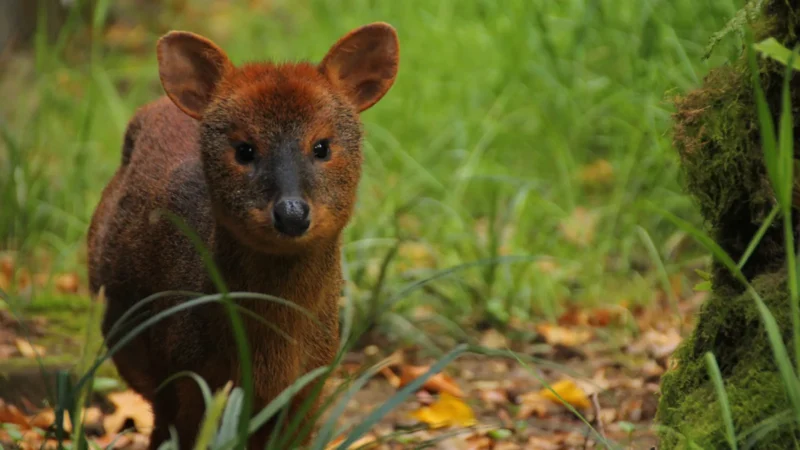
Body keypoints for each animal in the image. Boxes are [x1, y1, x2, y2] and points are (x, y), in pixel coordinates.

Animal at [86, 22, 399, 449]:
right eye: (244, 149)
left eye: (322, 146)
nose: (291, 213)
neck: (268, 364)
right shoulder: (182, 376)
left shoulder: (310, 385)